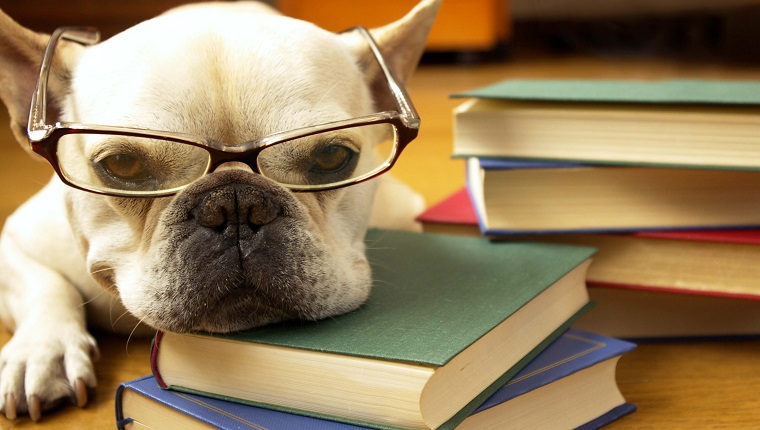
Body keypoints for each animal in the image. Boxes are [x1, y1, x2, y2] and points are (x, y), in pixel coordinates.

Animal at [0, 0, 440, 420]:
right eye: (123, 165)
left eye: (332, 156)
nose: (236, 207)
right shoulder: (16, 241)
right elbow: (44, 283)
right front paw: (43, 352)